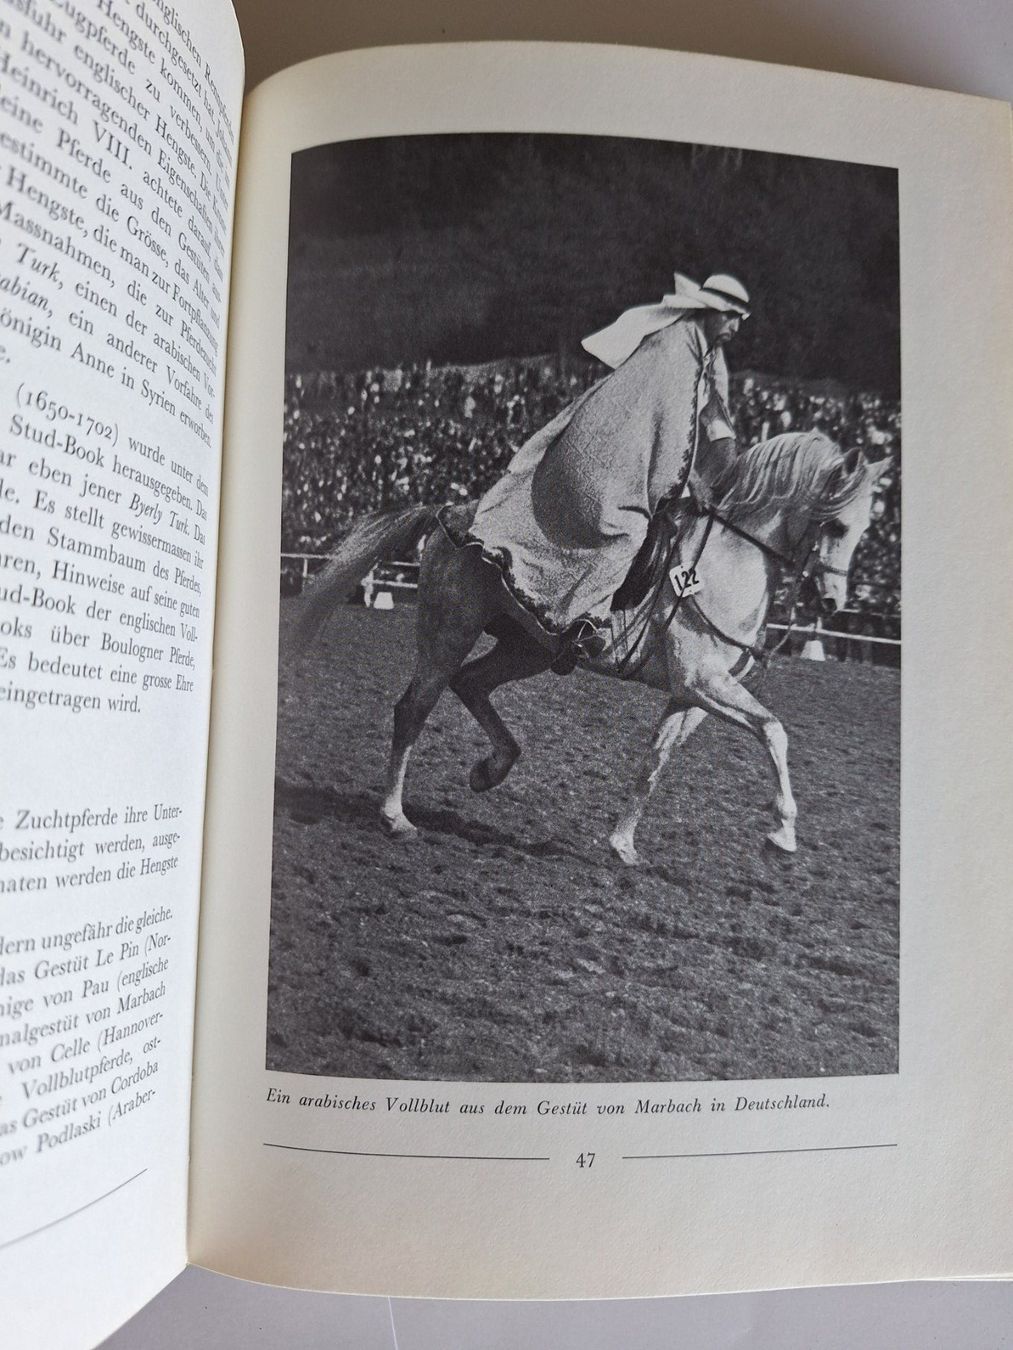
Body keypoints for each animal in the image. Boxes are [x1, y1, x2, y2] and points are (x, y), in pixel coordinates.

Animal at [294, 432, 888, 861]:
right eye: (837, 525)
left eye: (867, 528)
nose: (833, 602)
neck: (728, 564)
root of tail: (451, 513)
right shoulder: (703, 682)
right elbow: (774, 731)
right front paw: (782, 836)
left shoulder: (692, 695)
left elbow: (655, 762)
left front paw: (623, 846)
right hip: (449, 630)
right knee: (414, 707)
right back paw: (396, 818)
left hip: (526, 649)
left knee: (470, 684)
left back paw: (492, 769)